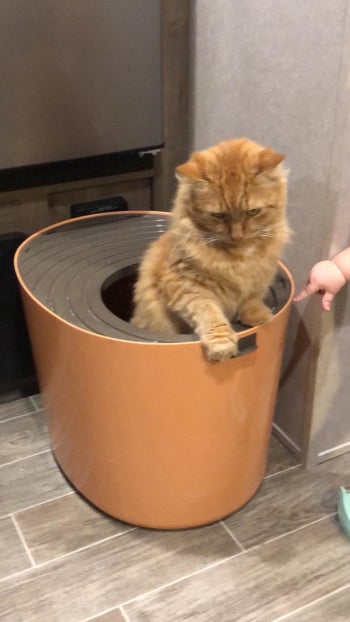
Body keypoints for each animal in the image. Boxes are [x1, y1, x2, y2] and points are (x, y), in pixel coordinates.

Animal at [131, 136, 290, 360]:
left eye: (253, 212)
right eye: (219, 215)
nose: (237, 235)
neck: (240, 256)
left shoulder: (261, 275)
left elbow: (251, 297)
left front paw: (258, 316)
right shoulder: (185, 284)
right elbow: (209, 312)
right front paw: (222, 345)